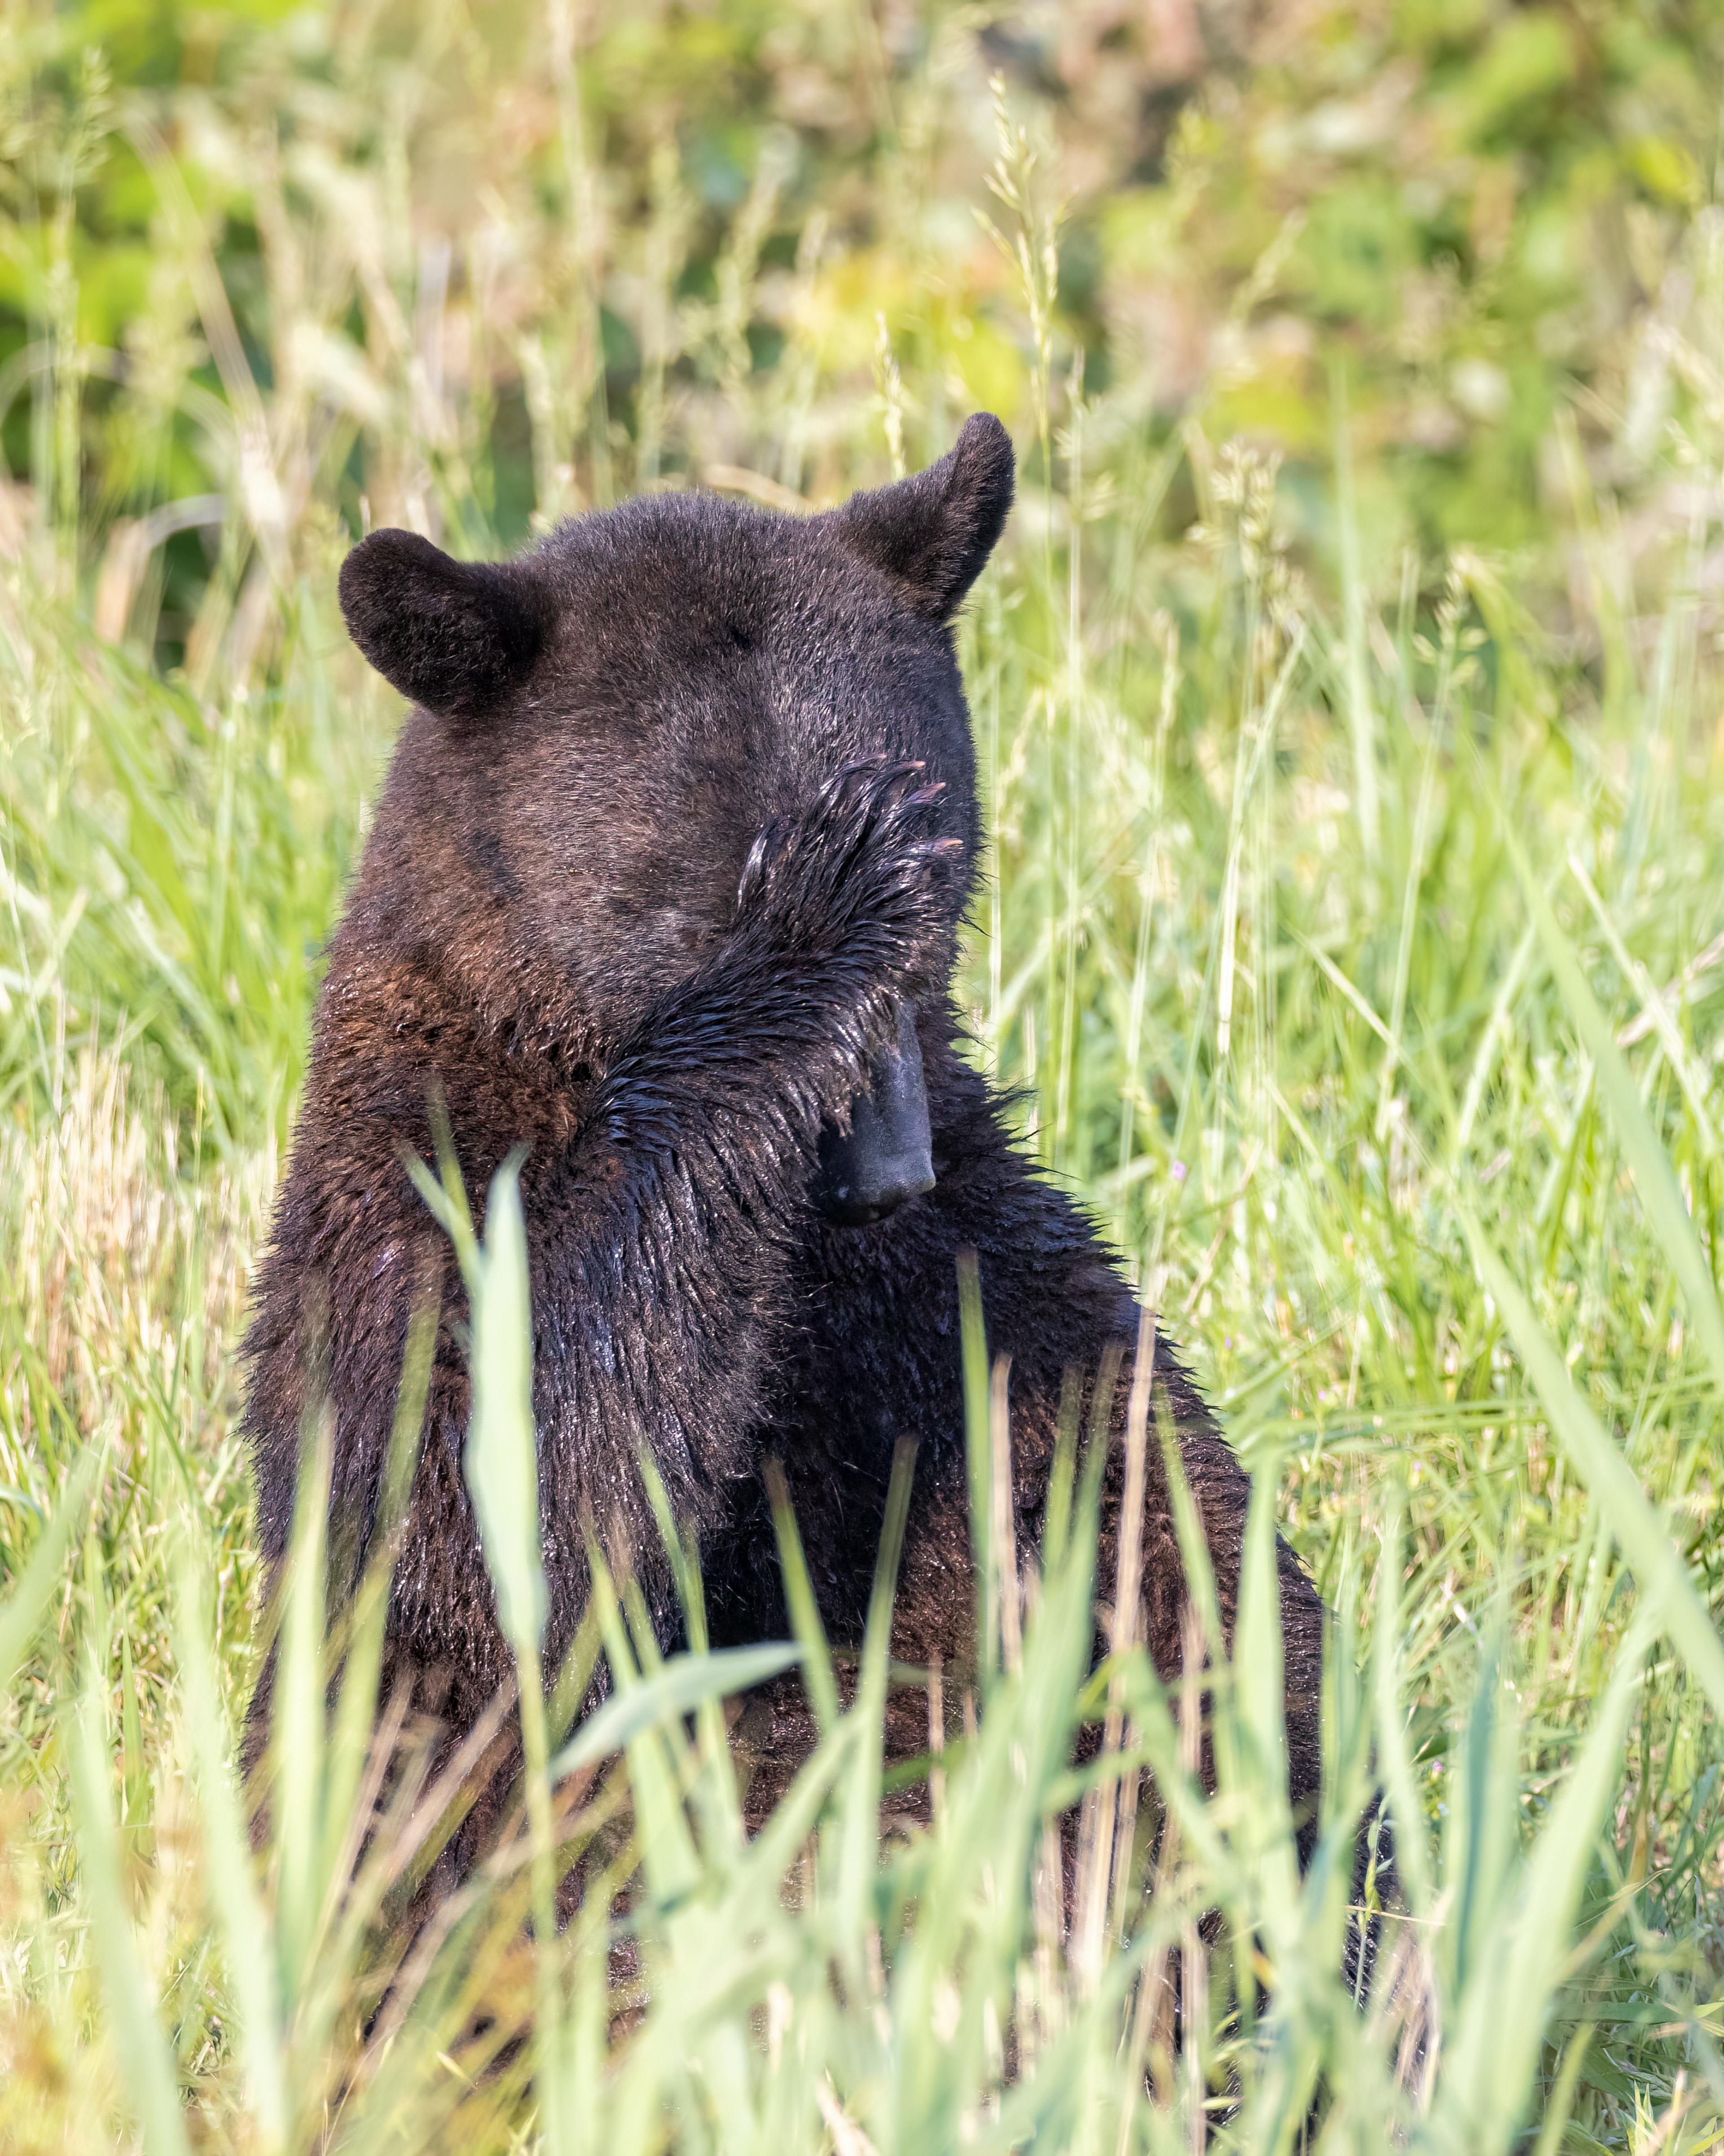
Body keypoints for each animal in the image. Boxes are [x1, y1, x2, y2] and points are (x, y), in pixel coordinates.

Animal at [241, 413, 1331, 1888]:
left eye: (947, 888)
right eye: (705, 901)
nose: (887, 1175)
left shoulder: (978, 1300)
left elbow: (1161, 1555)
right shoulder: (407, 1207)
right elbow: (509, 1516)